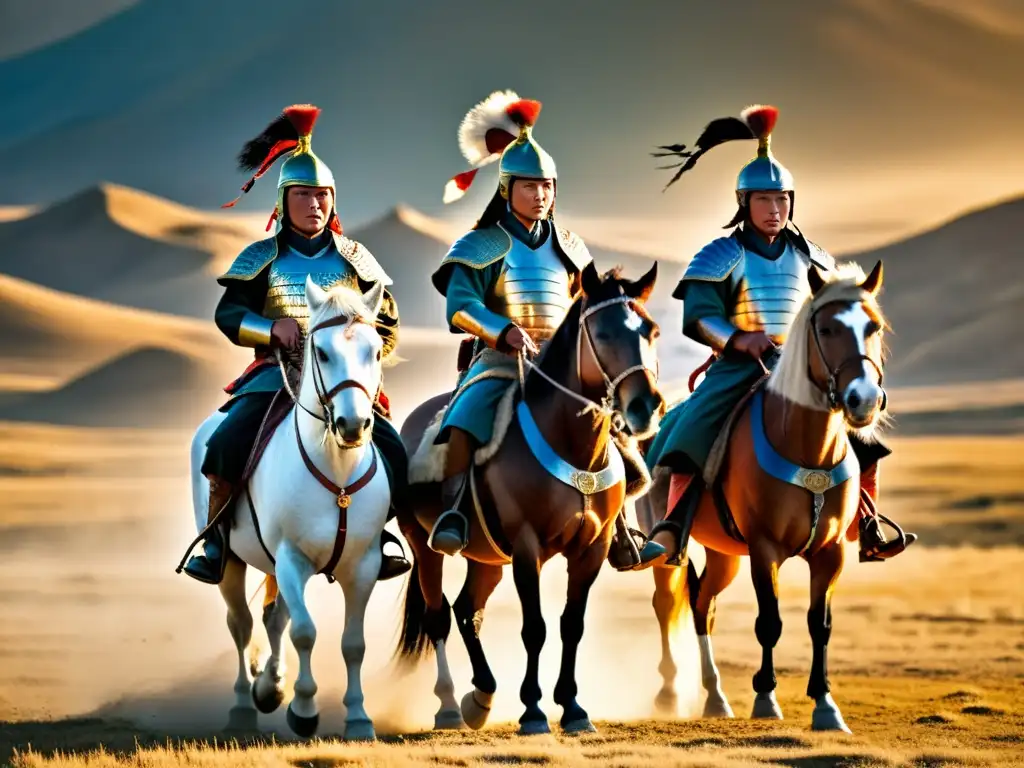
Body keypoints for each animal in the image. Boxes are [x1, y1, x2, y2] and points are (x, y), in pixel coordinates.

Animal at [186, 280, 389, 741]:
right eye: (323, 353)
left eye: (374, 351)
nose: (353, 425)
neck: (337, 470)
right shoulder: (292, 560)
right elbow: (305, 631)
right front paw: (304, 710)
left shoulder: (364, 567)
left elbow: (353, 643)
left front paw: (358, 718)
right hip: (233, 561)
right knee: (242, 623)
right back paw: (244, 705)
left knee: (272, 619)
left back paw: (270, 685)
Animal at [391, 264, 663, 741]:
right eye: (603, 333)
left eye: (651, 331)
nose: (645, 406)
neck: (573, 444)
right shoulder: (526, 547)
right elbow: (534, 628)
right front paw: (534, 711)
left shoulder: (590, 550)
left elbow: (572, 625)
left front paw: (573, 709)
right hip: (424, 544)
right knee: (438, 615)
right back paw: (449, 706)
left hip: (486, 557)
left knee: (467, 611)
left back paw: (481, 697)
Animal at [634, 262, 892, 737]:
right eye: (827, 328)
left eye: (874, 327)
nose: (863, 400)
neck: (808, 448)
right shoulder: (764, 548)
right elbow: (769, 622)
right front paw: (765, 698)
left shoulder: (829, 553)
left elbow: (820, 625)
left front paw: (826, 705)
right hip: (667, 550)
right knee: (666, 605)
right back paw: (671, 693)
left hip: (723, 555)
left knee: (703, 607)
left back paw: (715, 698)